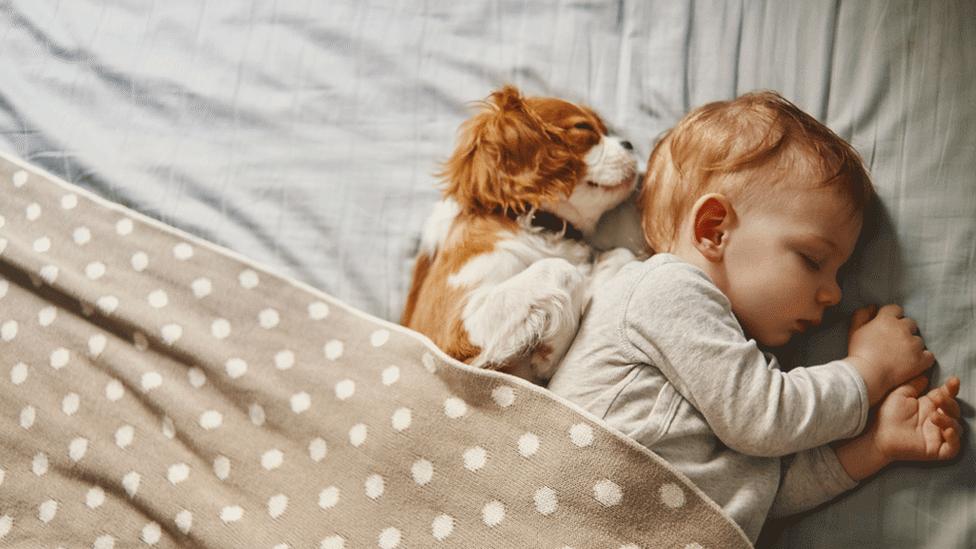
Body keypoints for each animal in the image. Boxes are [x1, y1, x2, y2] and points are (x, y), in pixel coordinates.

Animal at [400, 85, 636, 382]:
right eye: (583, 128)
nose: (630, 144)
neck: (541, 227)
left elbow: (620, 254)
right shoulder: (449, 331)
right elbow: (560, 268)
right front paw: (551, 351)